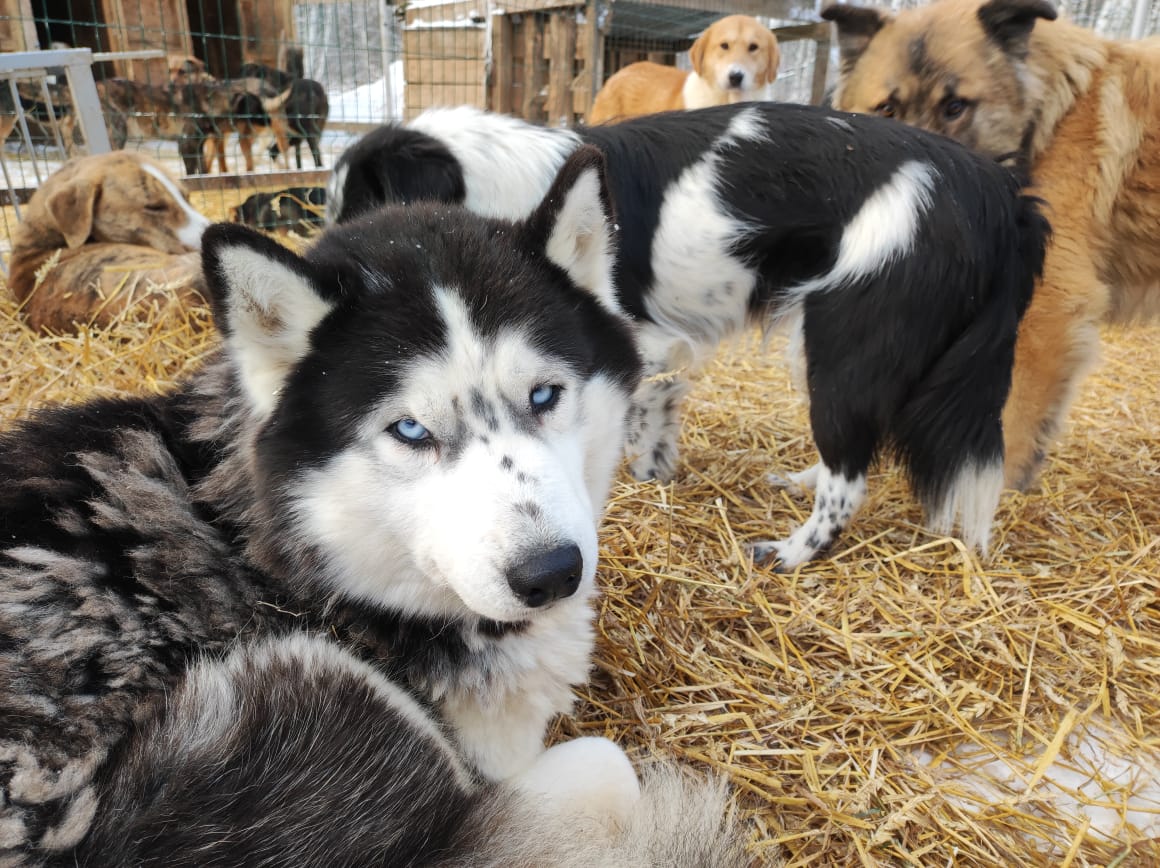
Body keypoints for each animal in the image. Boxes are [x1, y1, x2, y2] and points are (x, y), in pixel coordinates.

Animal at [327, 101, 1053, 566]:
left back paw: (793, 552)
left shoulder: (639, 347)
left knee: (851, 477)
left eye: (362, 210)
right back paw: (801, 483)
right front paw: (658, 484)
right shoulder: (664, 356)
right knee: (846, 457)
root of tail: (1001, 191)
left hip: (844, 346)